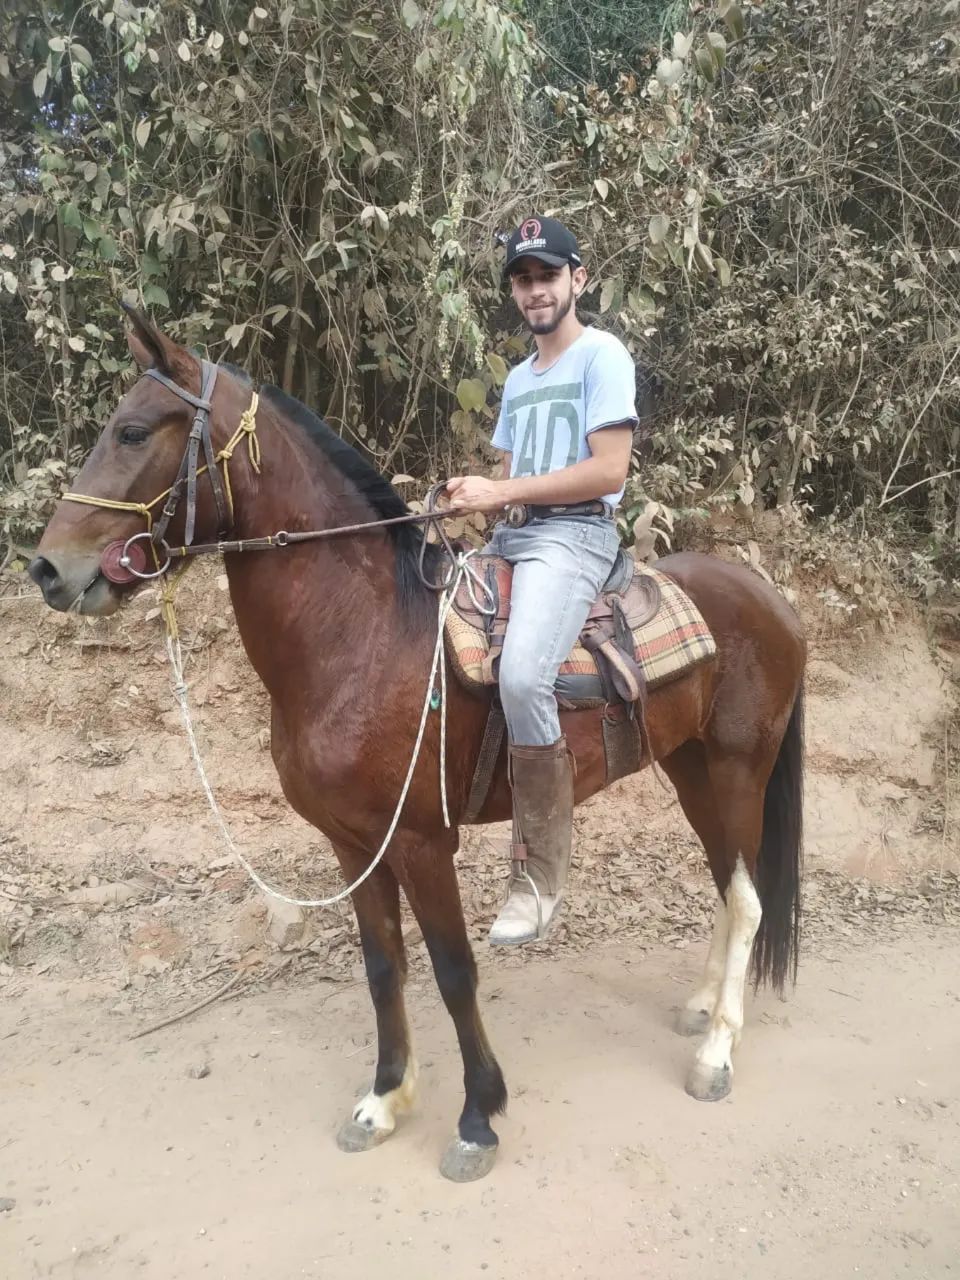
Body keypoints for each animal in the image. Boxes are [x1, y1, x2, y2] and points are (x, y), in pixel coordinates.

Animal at [28, 310, 806, 1182]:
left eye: (131, 431)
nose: (46, 568)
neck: (362, 634)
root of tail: (771, 601)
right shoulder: (352, 843)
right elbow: (383, 968)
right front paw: (384, 1097)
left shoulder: (422, 840)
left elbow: (454, 970)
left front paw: (477, 1118)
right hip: (693, 770)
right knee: (730, 888)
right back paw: (704, 1006)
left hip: (737, 772)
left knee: (749, 899)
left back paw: (717, 1051)